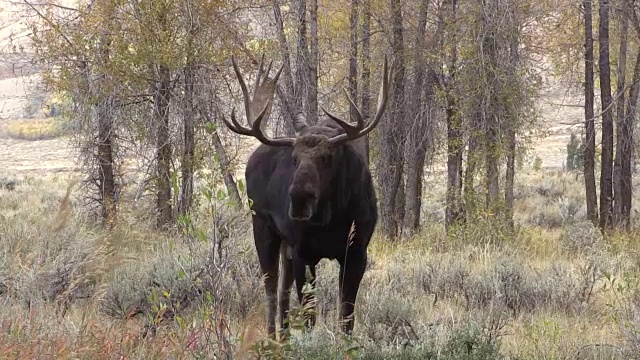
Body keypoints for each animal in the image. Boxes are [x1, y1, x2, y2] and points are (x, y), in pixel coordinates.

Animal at [220, 54, 390, 336]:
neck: (332, 218)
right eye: (295, 158)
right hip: (264, 228)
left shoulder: (357, 252)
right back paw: (272, 337)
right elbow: (310, 316)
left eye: (327, 158)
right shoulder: (303, 252)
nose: (299, 200)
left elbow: (346, 316)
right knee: (271, 290)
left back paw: (284, 338)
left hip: (285, 246)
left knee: (283, 293)